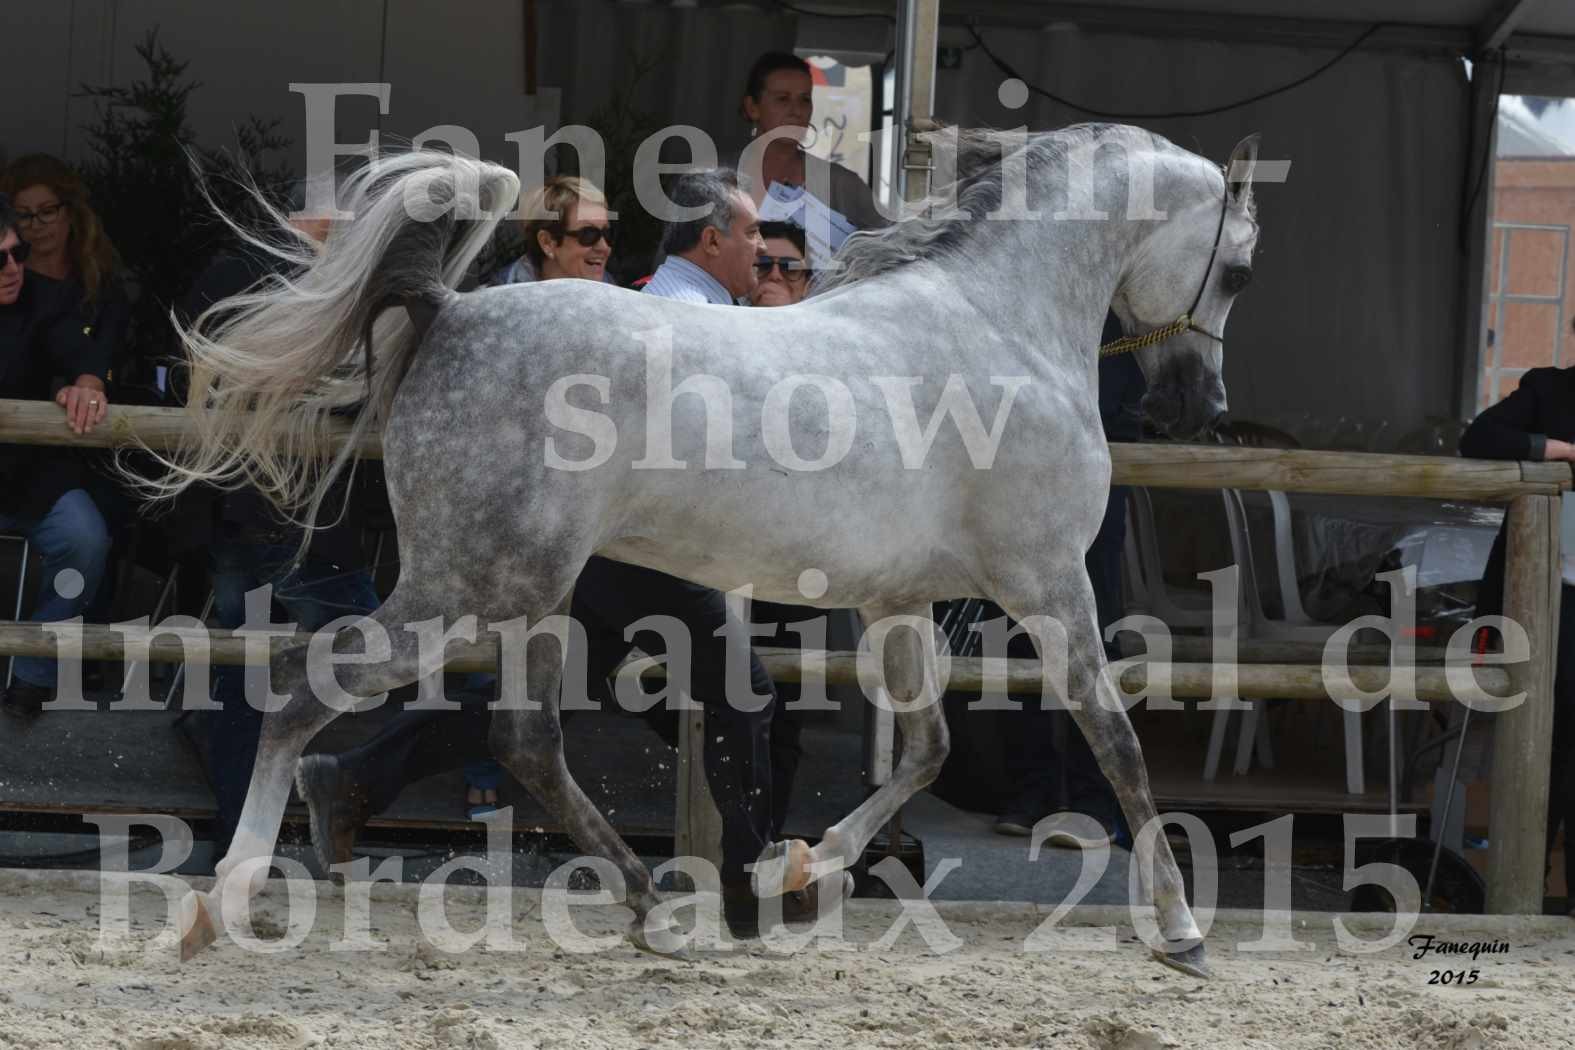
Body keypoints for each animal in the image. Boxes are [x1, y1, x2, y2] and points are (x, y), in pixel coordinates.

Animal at [156, 125, 1266, 976]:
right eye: (1240, 267)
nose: (1198, 408)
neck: (1000, 325)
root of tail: (453, 308)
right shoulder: (1046, 582)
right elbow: (1116, 746)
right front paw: (1181, 931)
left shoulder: (899, 600)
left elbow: (927, 750)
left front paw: (797, 868)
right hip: (470, 583)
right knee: (310, 684)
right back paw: (228, 897)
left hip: (530, 594)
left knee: (523, 740)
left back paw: (651, 911)